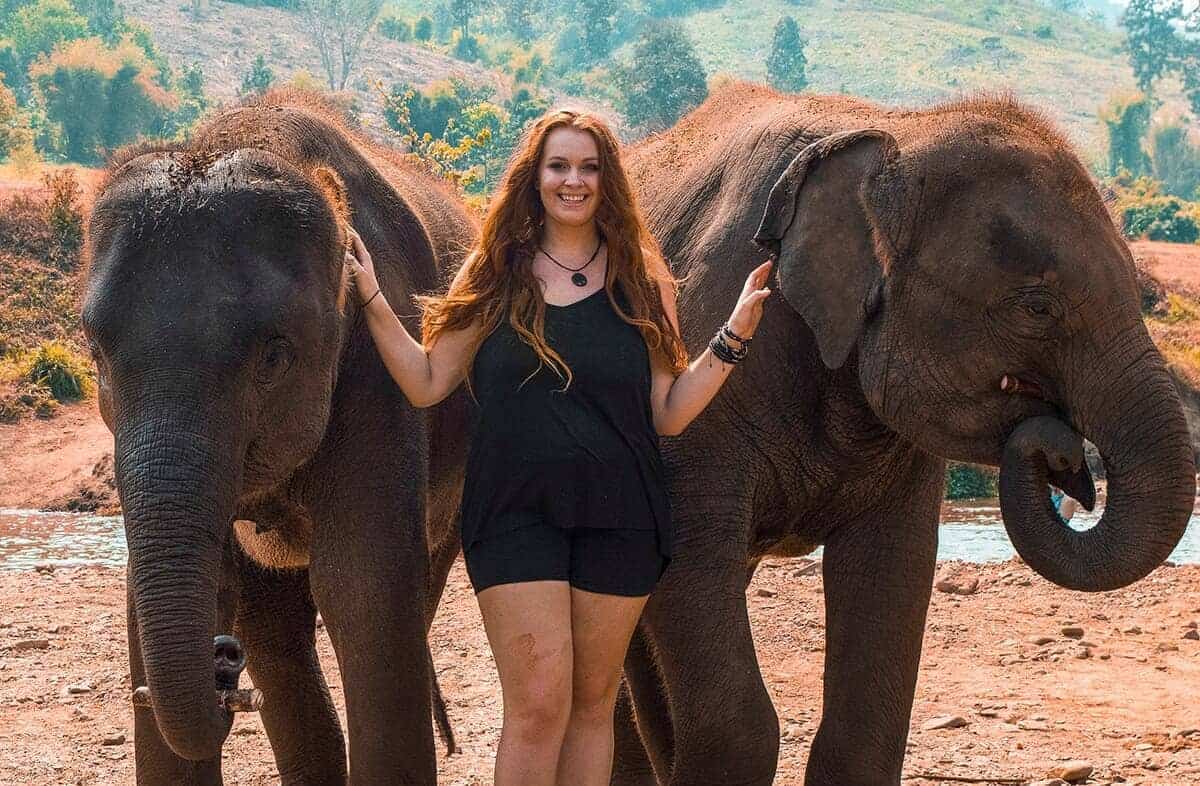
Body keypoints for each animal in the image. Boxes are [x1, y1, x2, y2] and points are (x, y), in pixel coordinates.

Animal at [78, 89, 472, 782]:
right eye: (94, 352)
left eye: (273, 357)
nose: (221, 661)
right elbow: (144, 600)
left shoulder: (379, 365)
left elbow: (365, 588)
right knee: (275, 631)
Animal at [614, 82, 1195, 782]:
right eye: (1037, 307)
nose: (1064, 454)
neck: (894, 131)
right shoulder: (692, 388)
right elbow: (696, 581)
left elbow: (890, 576)